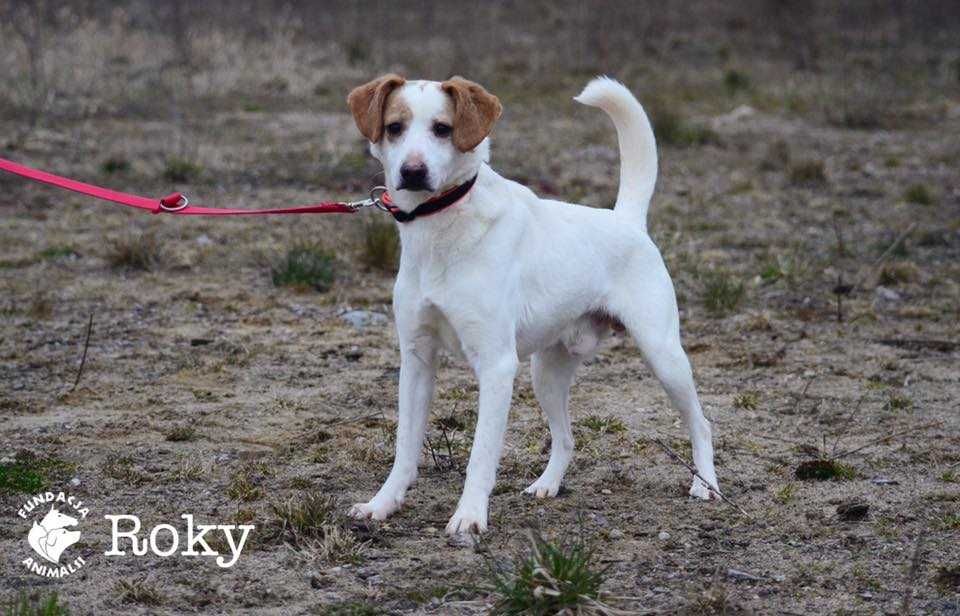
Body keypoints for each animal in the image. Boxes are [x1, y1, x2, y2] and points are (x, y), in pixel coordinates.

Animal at [346, 73, 720, 536]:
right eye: (395, 127)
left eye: (442, 129)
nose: (412, 172)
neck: (441, 225)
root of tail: (625, 220)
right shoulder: (416, 360)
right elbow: (404, 448)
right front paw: (382, 504)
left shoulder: (496, 365)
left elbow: (480, 455)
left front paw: (469, 516)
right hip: (547, 374)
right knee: (566, 438)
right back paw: (548, 485)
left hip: (663, 356)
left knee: (701, 424)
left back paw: (706, 485)